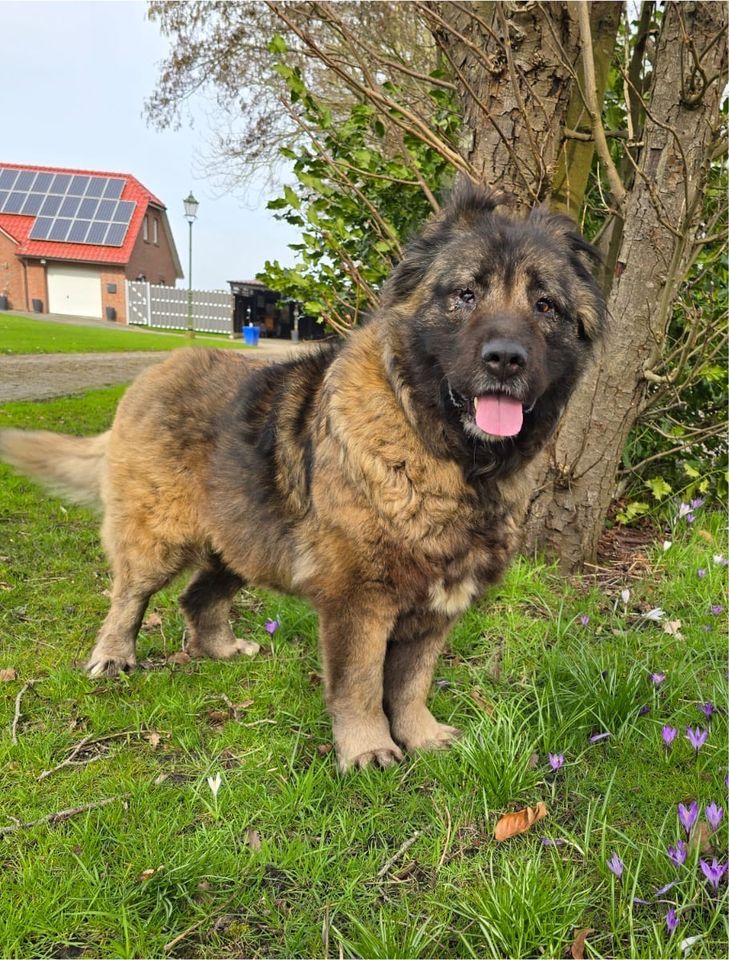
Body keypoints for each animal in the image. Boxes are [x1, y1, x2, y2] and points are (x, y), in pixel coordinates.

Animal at [0, 184, 604, 776]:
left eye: (545, 306)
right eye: (466, 295)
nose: (506, 359)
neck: (445, 454)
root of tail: (154, 372)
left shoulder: (438, 608)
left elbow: (411, 683)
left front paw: (422, 736)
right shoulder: (359, 601)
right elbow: (361, 685)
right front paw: (367, 749)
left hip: (241, 540)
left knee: (197, 598)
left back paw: (221, 650)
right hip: (159, 540)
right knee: (128, 598)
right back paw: (113, 656)